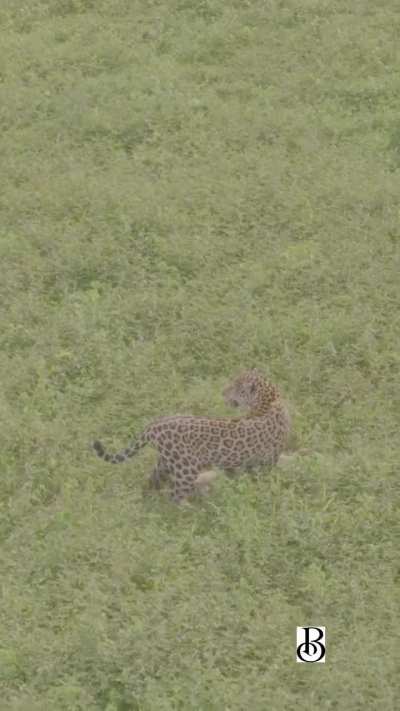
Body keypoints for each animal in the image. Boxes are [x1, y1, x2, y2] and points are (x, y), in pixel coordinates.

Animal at [93, 368, 291, 504]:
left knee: (152, 482)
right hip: (186, 470)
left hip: (167, 463)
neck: (269, 399)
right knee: (174, 497)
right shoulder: (265, 460)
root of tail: (153, 426)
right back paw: (189, 512)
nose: (223, 392)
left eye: (235, 387)